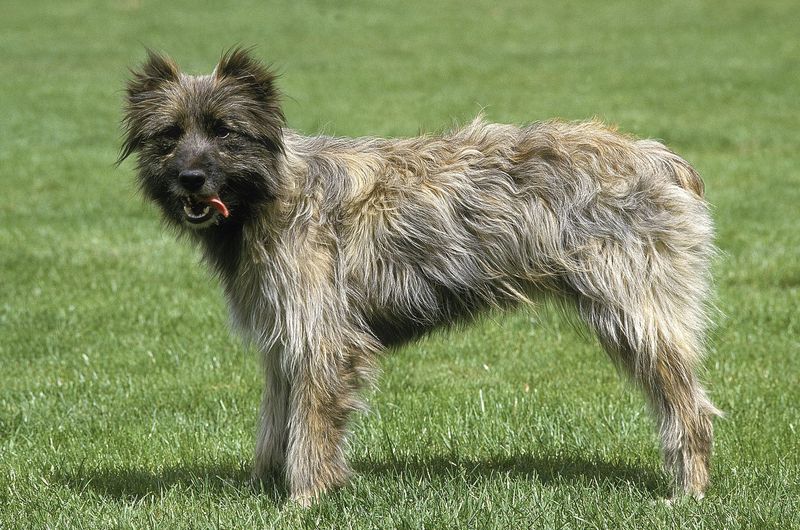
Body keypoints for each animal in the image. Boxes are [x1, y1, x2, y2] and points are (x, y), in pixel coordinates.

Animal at [119, 48, 720, 504]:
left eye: (224, 131)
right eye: (169, 134)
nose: (190, 178)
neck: (274, 193)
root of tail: (663, 160)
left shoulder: (323, 338)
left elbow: (311, 428)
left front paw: (304, 500)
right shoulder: (283, 340)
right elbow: (278, 421)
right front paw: (263, 488)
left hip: (638, 317)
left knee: (690, 410)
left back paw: (686, 494)